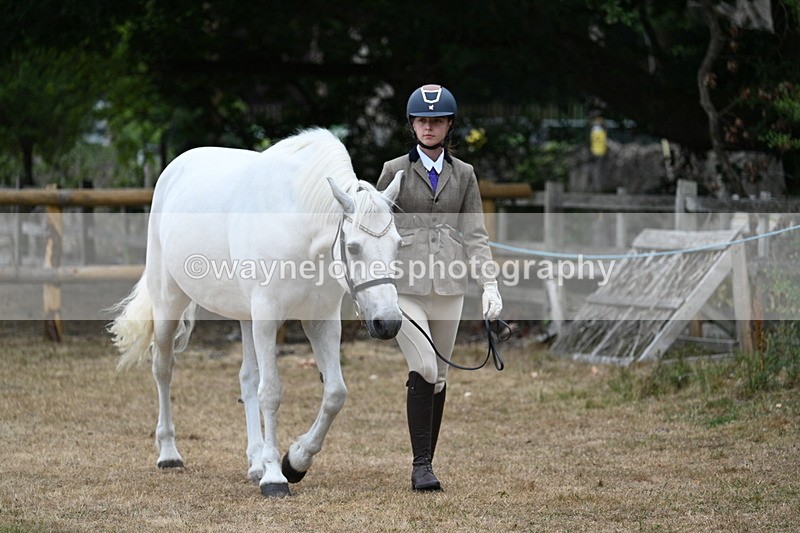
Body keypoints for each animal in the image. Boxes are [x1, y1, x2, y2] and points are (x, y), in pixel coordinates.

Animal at [109, 128, 404, 497]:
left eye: (398, 244)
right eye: (353, 247)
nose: (387, 323)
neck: (299, 225)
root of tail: (173, 169)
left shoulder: (321, 320)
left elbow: (335, 393)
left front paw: (295, 461)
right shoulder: (267, 315)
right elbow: (272, 392)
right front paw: (276, 477)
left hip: (244, 315)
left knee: (247, 378)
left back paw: (255, 462)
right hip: (169, 303)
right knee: (163, 368)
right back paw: (169, 454)